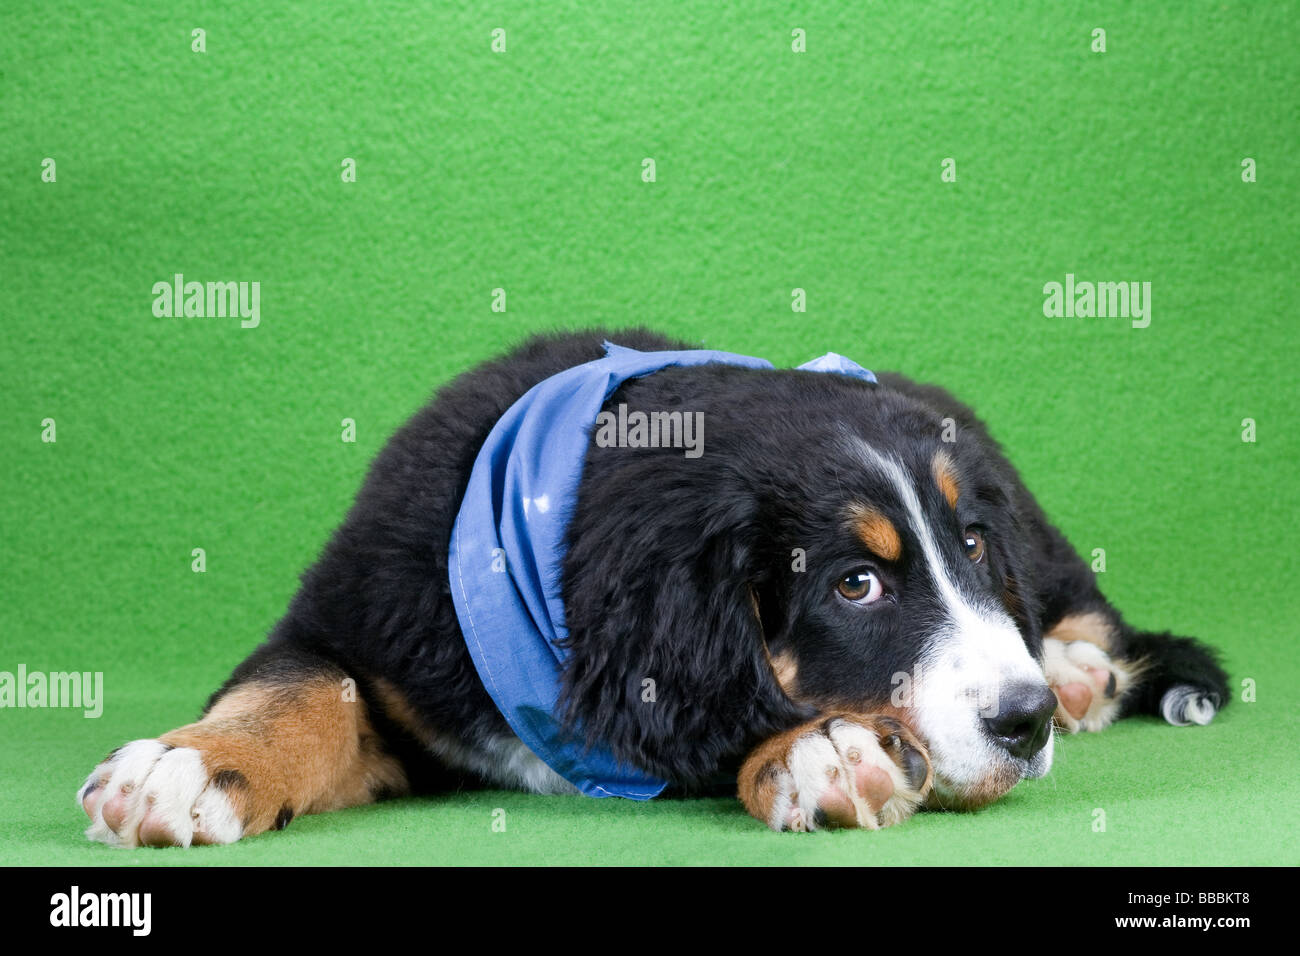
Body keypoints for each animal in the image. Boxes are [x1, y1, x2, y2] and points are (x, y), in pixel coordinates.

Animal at [78, 329, 1227, 842]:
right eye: (855, 584)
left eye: (973, 546)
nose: (1022, 721)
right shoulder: (363, 617)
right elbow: (298, 691)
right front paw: (190, 765)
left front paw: (820, 751)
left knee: (1084, 601)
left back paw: (1076, 671)